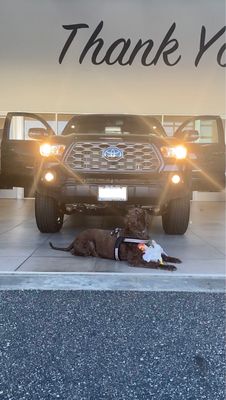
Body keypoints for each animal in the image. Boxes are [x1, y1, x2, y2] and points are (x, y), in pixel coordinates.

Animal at [49, 206, 180, 272]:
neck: (138, 234)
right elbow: (154, 264)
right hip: (89, 244)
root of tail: (76, 237)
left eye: (137, 212)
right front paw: (168, 266)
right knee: (75, 252)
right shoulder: (135, 260)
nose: (129, 220)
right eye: (129, 213)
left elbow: (164, 256)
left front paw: (174, 259)